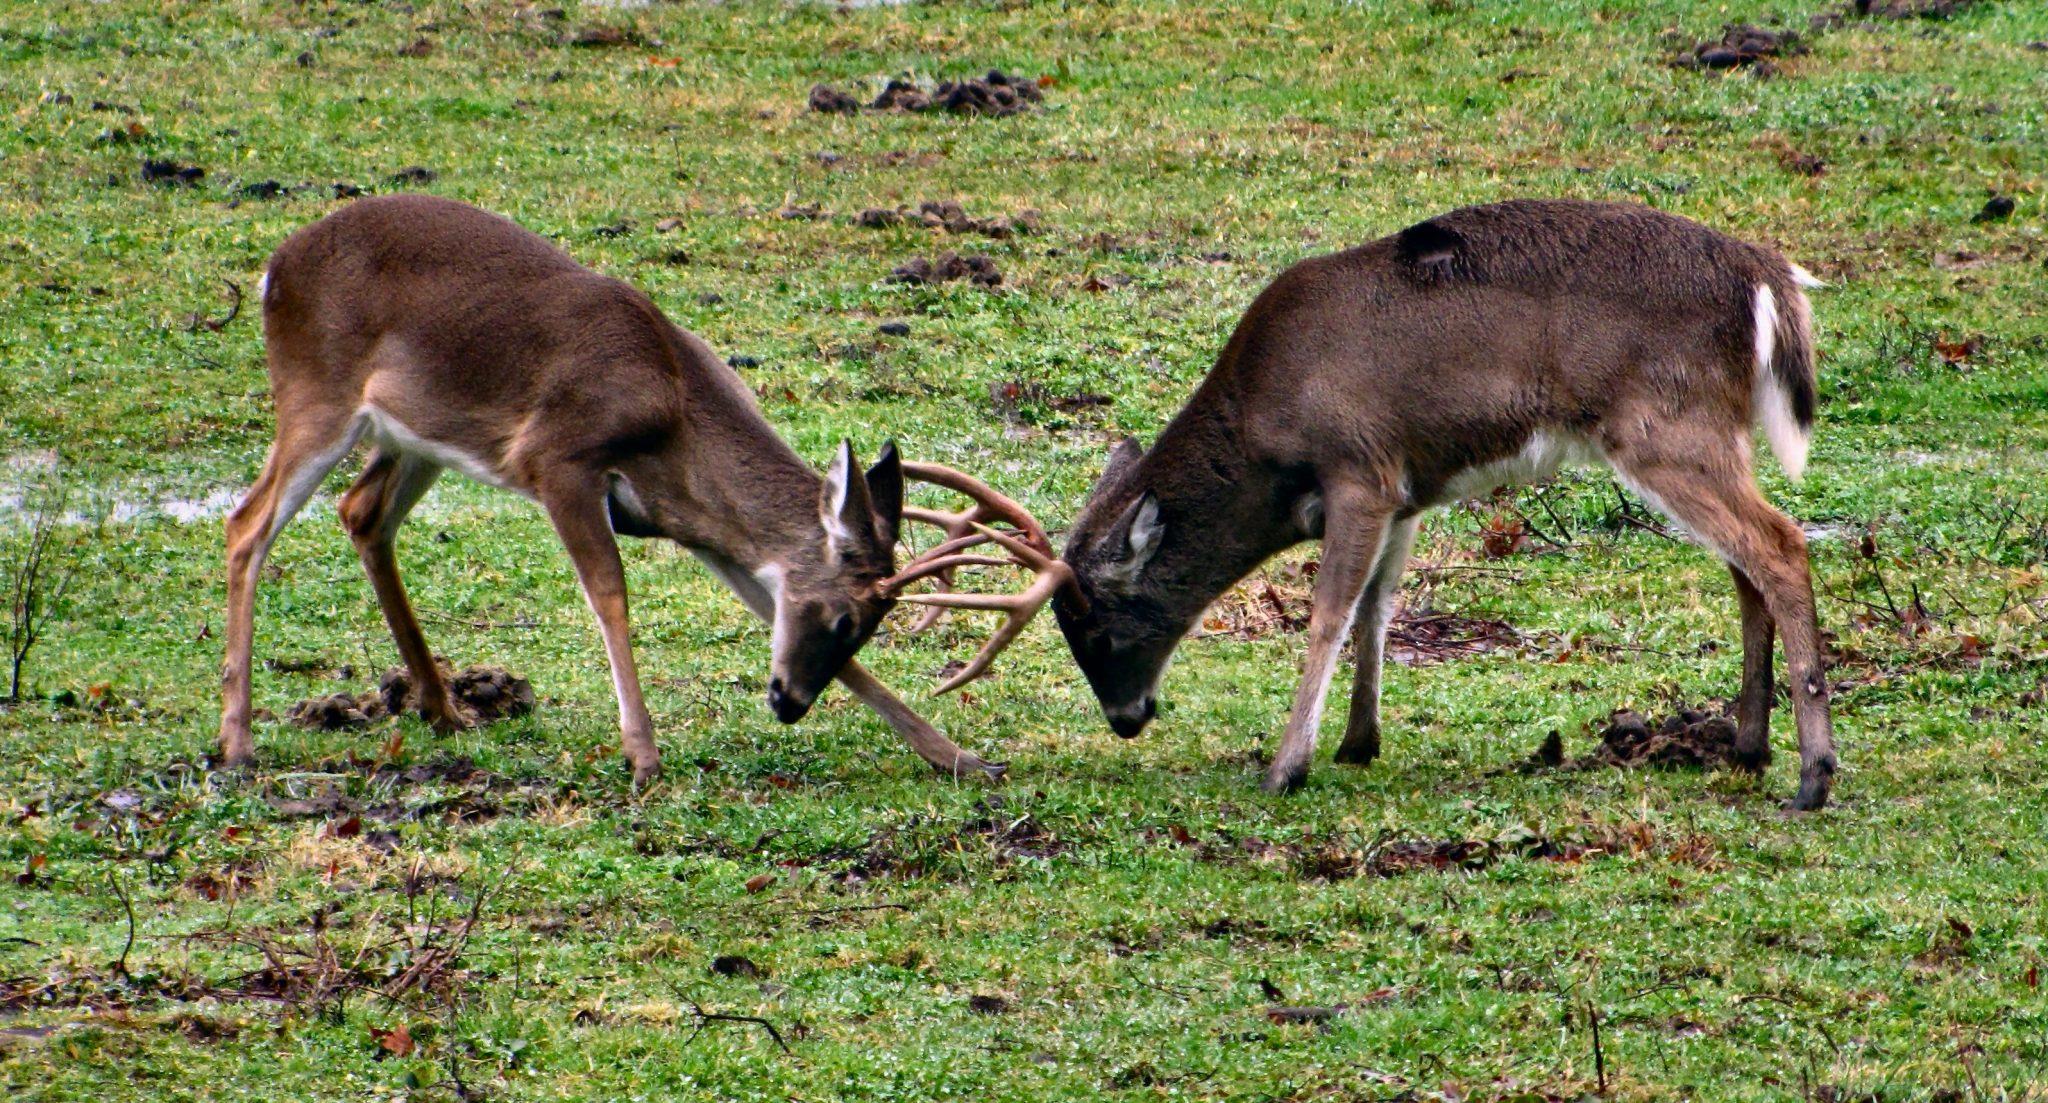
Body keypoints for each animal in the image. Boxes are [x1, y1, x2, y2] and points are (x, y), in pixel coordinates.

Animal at [219, 194, 1073, 785]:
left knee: (360, 512)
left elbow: (765, 606)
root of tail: (273, 270)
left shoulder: (696, 522)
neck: (674, 404)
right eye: (842, 617)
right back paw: (238, 738)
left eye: (863, 627)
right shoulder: (559, 460)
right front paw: (644, 755)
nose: (789, 703)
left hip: (413, 434)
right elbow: (610, 592)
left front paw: (960, 756)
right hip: (319, 394)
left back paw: (443, 706)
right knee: (247, 522)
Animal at [1052, 198, 1840, 810]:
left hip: (1663, 428)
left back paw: (1813, 775)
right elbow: (1377, 609)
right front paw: (1357, 741)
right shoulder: (1405, 493)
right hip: (1709, 433)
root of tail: (1768, 279)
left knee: (1778, 543)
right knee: (1745, 562)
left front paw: (1286, 767)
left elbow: (1329, 614)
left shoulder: (1358, 471)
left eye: (1097, 630)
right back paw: (1749, 747)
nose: (1126, 718)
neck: (1266, 426)